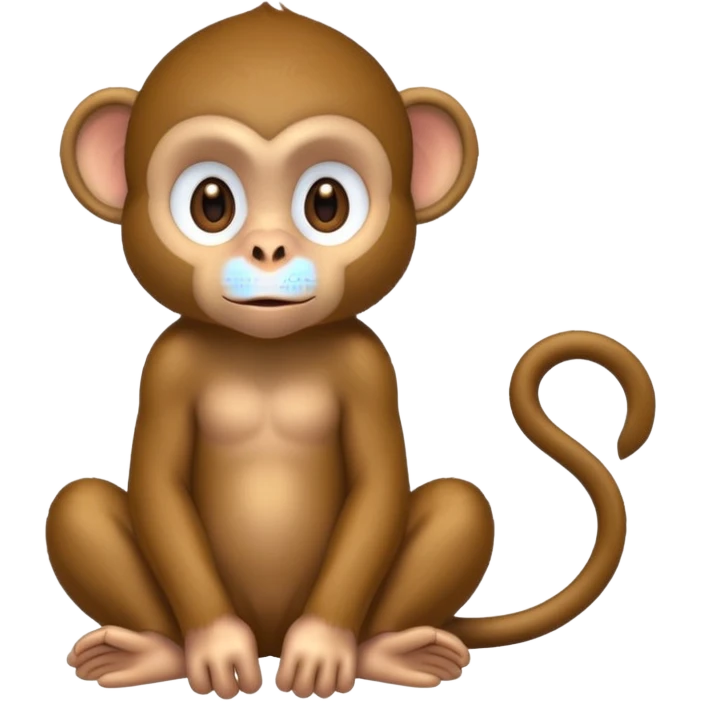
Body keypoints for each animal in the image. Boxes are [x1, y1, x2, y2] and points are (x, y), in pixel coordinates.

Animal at [48, 4, 656, 699]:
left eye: (326, 203)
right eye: (211, 203)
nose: (268, 250)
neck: (270, 352)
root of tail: (269, 640)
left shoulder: (369, 364)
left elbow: (378, 483)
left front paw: (322, 649)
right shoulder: (167, 364)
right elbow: (158, 485)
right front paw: (215, 647)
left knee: (461, 508)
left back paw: (386, 652)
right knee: (76, 507)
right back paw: (153, 651)